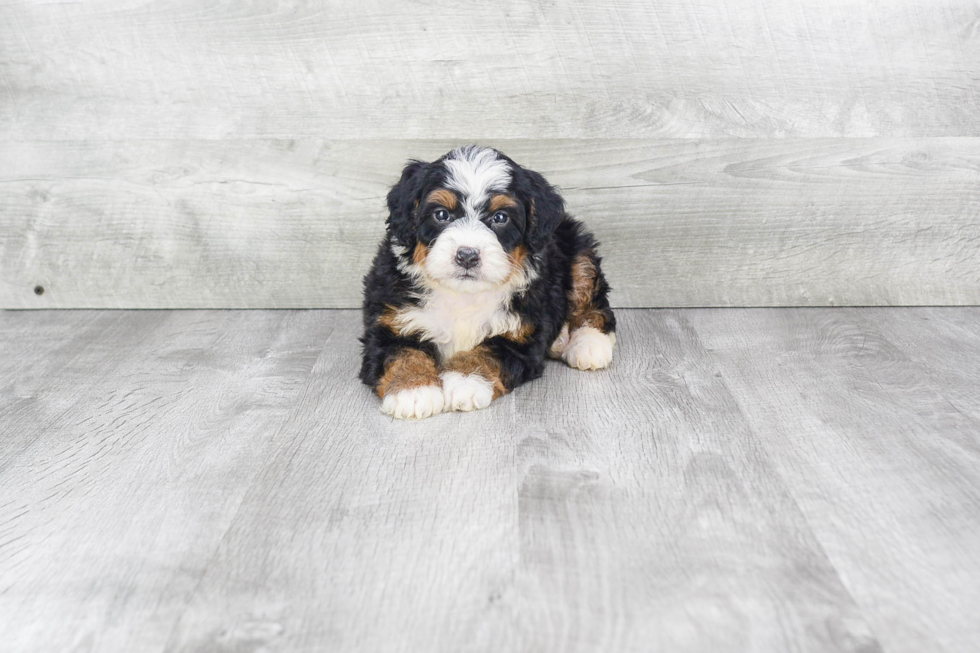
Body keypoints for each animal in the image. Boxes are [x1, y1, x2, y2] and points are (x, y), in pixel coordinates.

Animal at [360, 144, 620, 418]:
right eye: (441, 214)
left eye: (500, 218)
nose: (467, 255)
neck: (464, 294)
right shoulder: (391, 320)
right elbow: (401, 351)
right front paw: (413, 390)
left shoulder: (522, 333)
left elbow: (488, 352)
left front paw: (464, 381)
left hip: (580, 255)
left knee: (594, 306)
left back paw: (588, 345)